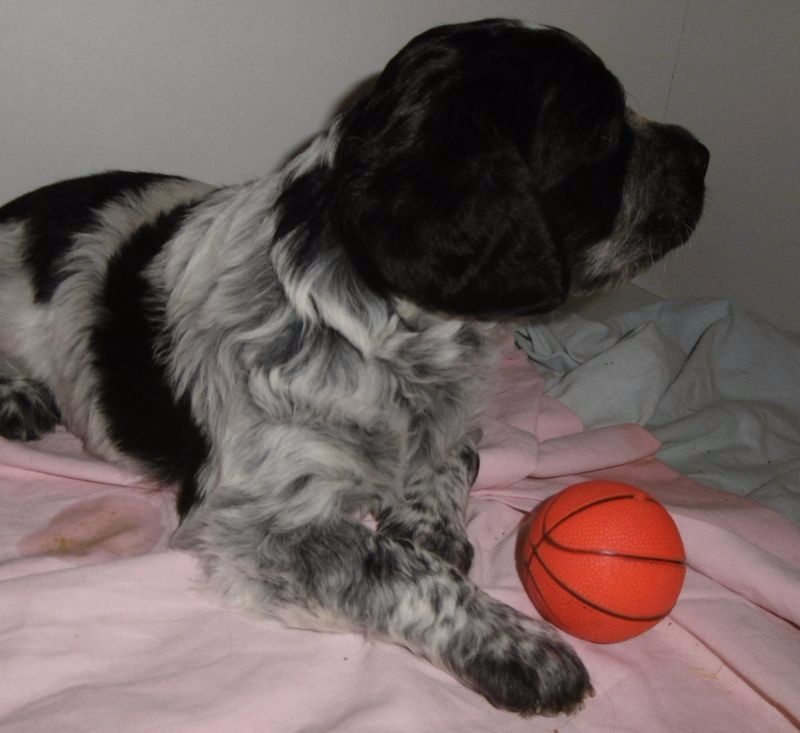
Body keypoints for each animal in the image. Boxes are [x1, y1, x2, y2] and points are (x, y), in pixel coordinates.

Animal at [0, 19, 707, 716]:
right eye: (601, 132)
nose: (702, 154)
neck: (391, 336)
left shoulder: (457, 411)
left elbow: (449, 460)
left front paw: (429, 525)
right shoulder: (255, 522)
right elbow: (393, 568)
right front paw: (519, 649)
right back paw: (18, 394)